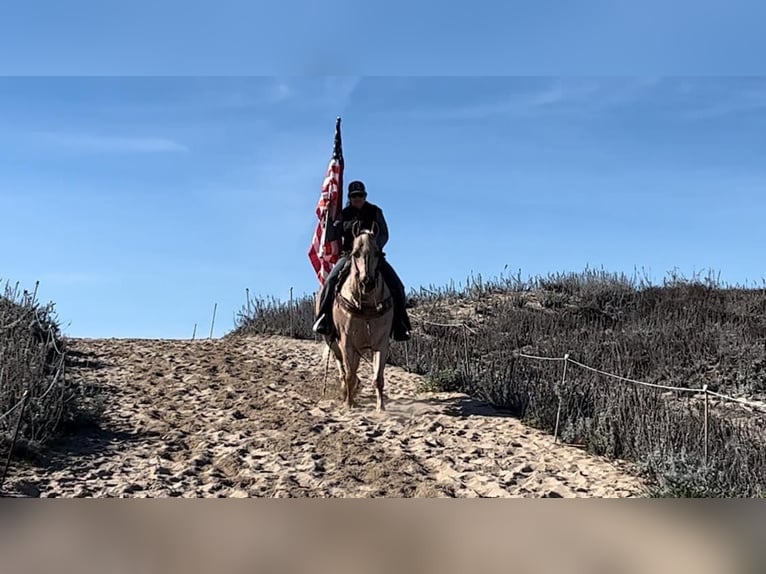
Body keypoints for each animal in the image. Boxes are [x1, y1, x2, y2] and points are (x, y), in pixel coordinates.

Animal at [316, 223, 392, 412]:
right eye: (355, 253)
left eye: (377, 253)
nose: (367, 283)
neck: (366, 305)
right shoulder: (346, 342)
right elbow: (349, 375)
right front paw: (348, 404)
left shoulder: (381, 343)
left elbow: (378, 378)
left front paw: (380, 408)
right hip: (334, 344)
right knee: (343, 371)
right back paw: (346, 395)